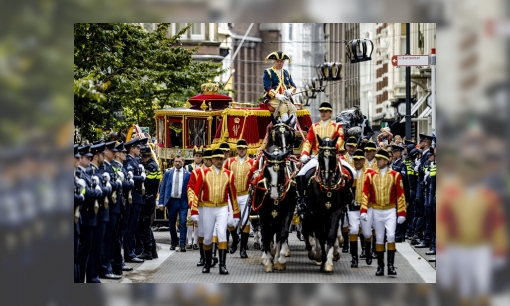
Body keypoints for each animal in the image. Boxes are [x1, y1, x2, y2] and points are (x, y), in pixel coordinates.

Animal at [300, 136, 352, 272]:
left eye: (333, 156)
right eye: (320, 157)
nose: (327, 180)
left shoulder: (336, 211)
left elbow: (331, 235)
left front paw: (328, 262)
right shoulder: (317, 212)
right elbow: (321, 235)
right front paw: (322, 260)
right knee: (309, 230)